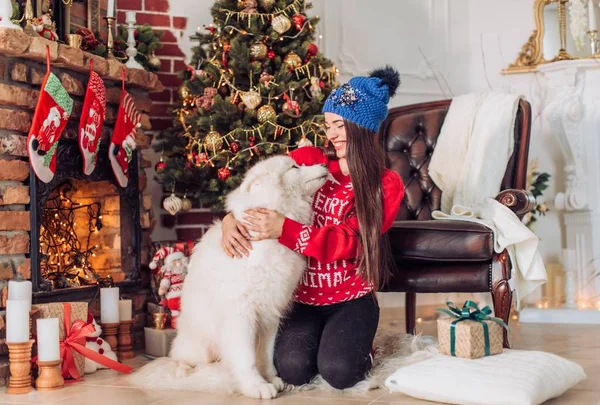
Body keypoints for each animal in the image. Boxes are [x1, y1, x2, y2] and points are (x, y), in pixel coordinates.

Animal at [169, 154, 328, 398]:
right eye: (294, 167)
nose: (326, 163)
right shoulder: (241, 314)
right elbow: (246, 357)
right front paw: (257, 386)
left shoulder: (270, 313)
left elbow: (266, 354)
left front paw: (271, 378)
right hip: (199, 345)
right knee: (178, 359)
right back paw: (188, 370)